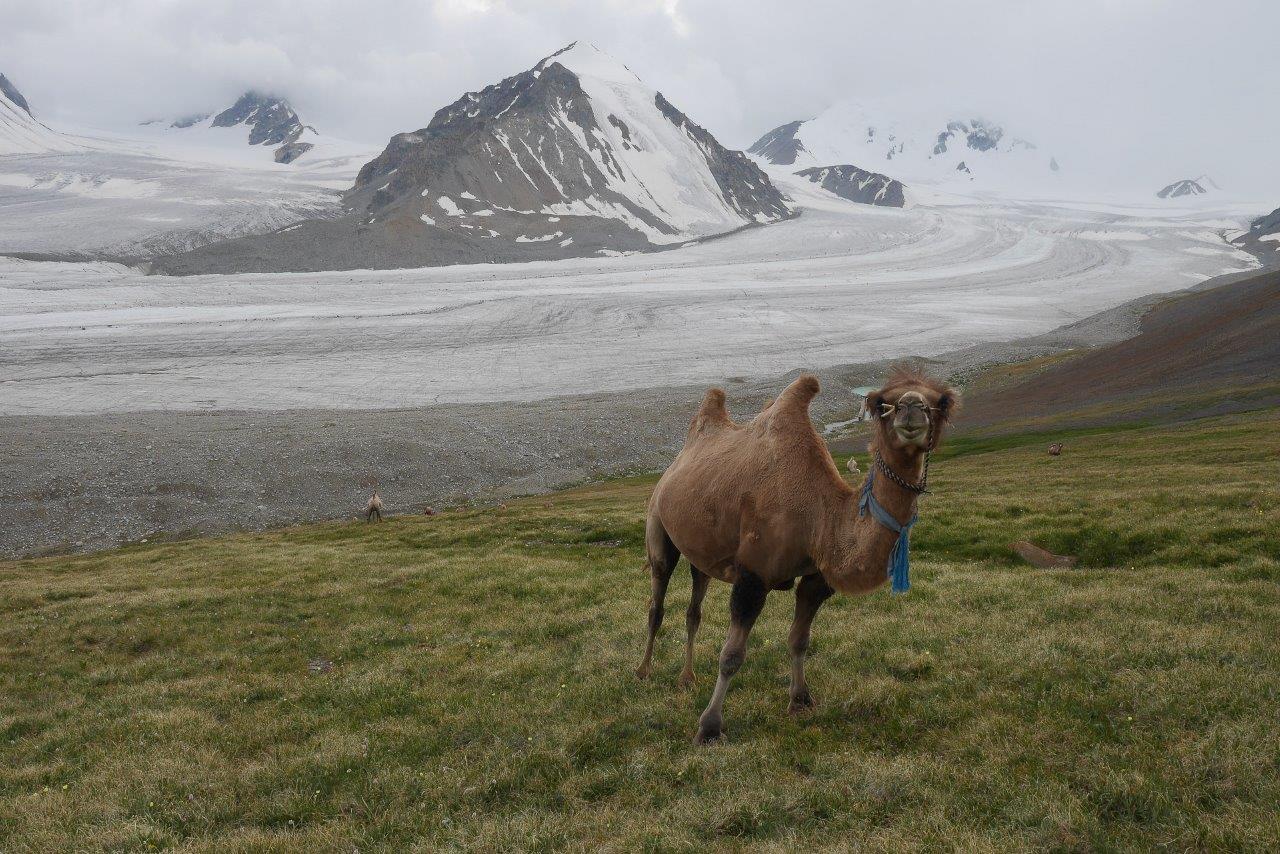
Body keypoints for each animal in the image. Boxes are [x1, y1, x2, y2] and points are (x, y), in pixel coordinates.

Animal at [634, 368, 957, 742]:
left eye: (943, 402)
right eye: (880, 404)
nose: (911, 410)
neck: (817, 512)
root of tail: (673, 465)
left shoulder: (816, 578)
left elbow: (799, 639)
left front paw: (800, 700)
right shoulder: (753, 574)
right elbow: (731, 655)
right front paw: (709, 727)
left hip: (702, 551)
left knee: (693, 610)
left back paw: (686, 678)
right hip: (658, 523)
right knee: (656, 602)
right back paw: (643, 670)